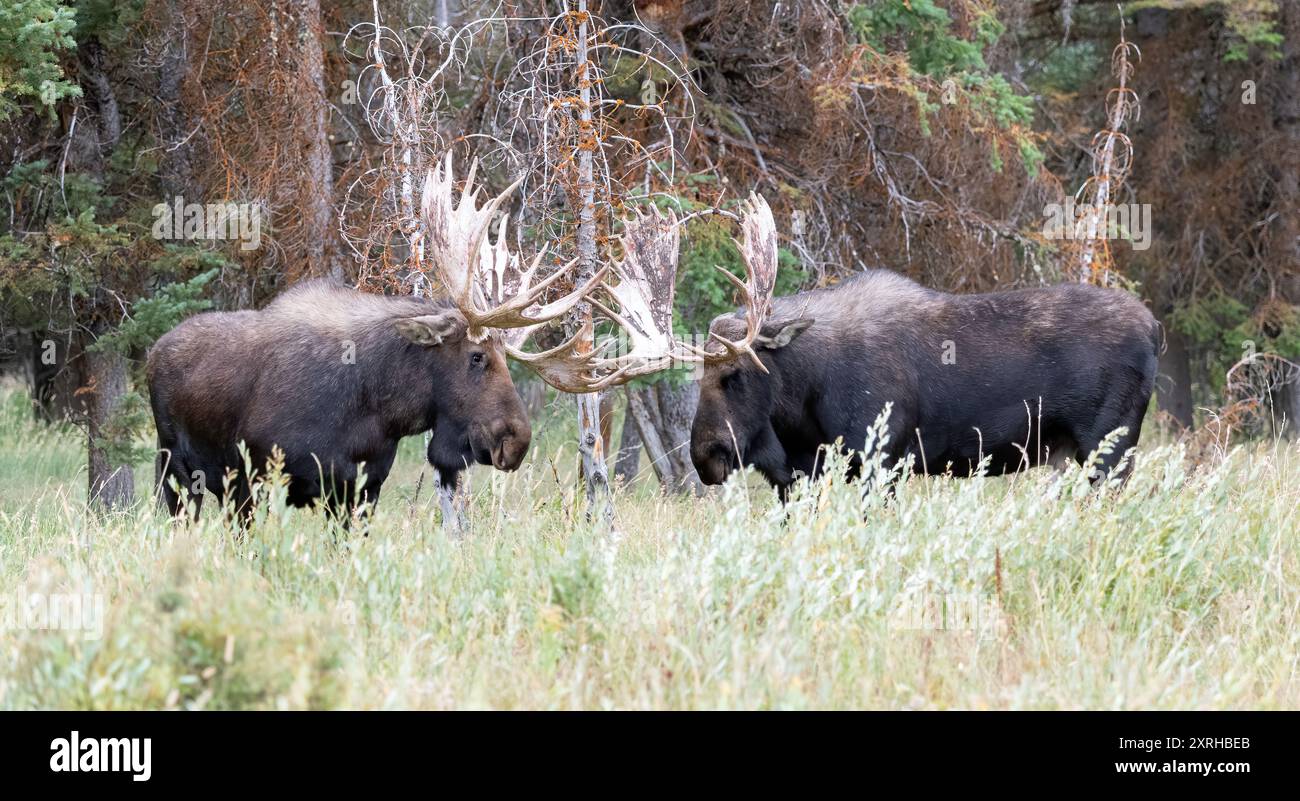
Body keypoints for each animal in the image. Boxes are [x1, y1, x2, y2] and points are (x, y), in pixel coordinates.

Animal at [688, 269, 1161, 497]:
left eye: (734, 373)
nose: (705, 457)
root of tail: (1155, 327)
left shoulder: (884, 461)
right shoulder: (799, 475)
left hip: (1111, 447)